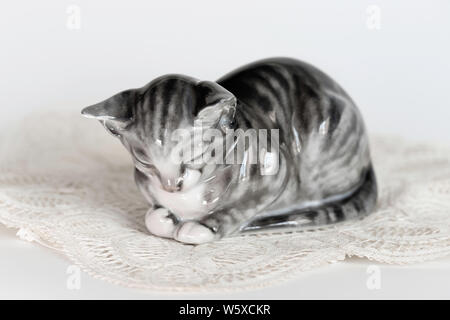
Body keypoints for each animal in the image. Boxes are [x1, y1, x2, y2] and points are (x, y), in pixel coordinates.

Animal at [81, 56, 376, 244]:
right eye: (144, 160)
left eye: (194, 155)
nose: (171, 186)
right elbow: (152, 218)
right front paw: (162, 216)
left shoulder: (276, 167)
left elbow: (243, 207)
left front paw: (202, 225)